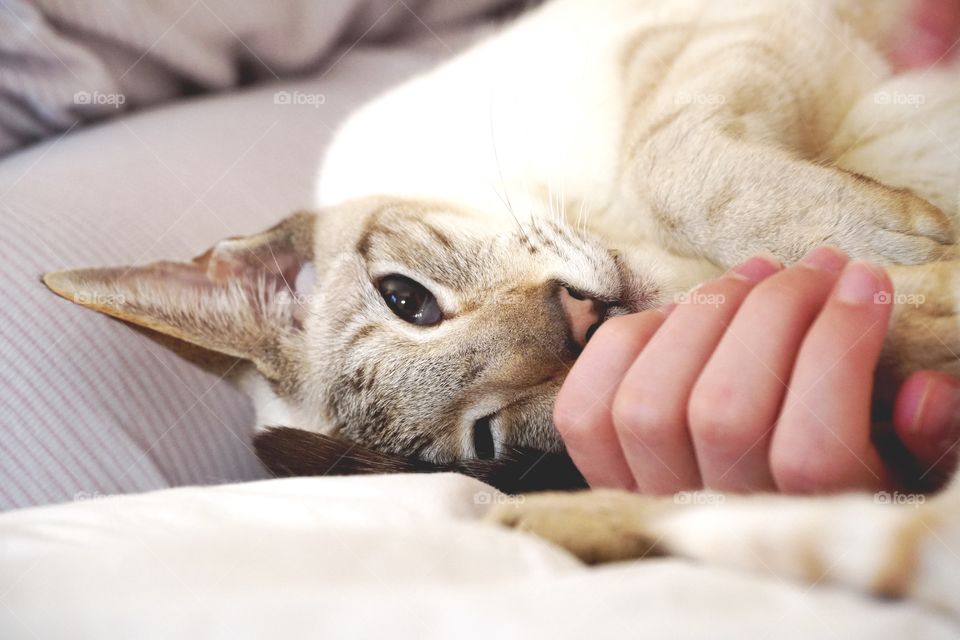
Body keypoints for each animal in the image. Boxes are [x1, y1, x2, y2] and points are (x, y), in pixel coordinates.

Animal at [41, 0, 960, 616]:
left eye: (407, 299)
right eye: (484, 437)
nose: (581, 322)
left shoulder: (710, 38)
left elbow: (673, 163)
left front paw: (898, 237)